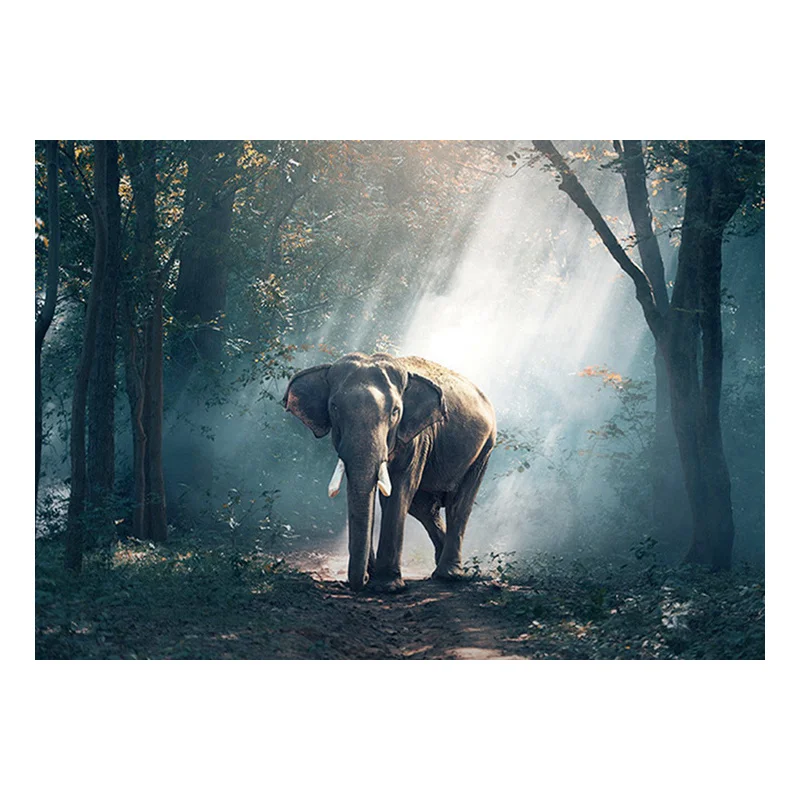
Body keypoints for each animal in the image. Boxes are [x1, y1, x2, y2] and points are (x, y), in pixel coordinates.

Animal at [282, 352, 496, 592]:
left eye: (395, 412)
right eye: (334, 408)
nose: (362, 580)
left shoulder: (417, 437)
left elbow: (399, 491)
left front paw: (387, 586)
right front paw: (374, 576)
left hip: (485, 448)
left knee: (458, 504)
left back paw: (449, 575)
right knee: (424, 508)